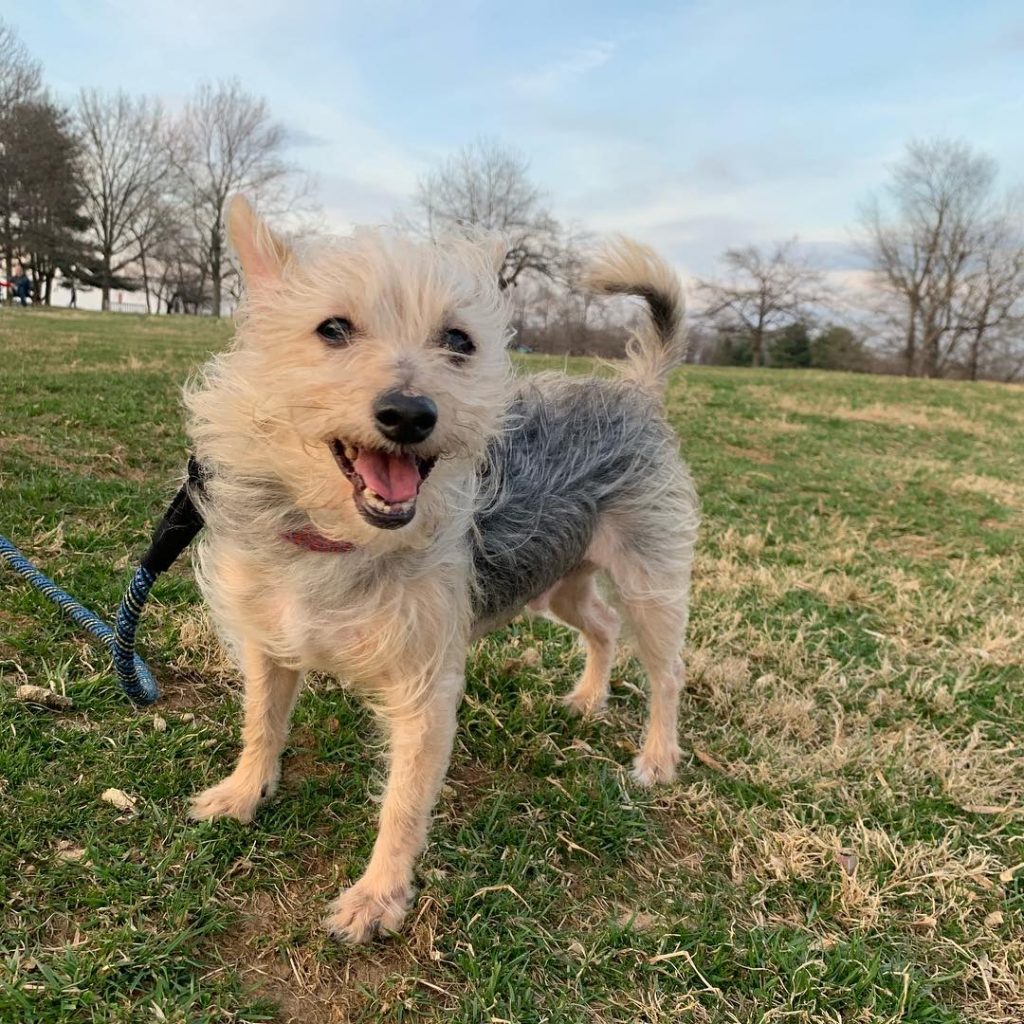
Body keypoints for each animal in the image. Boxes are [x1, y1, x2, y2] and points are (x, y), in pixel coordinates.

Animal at [184, 197, 700, 942]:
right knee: (601, 624)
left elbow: (401, 802)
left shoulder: (424, 689)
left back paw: (658, 757)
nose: (409, 413)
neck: (339, 542)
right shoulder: (268, 645)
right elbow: (262, 722)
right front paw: (244, 792)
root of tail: (636, 389)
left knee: (666, 672)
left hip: (648, 582)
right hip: (560, 580)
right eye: (332, 329)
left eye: (458, 341)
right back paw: (587, 698)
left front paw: (378, 898)